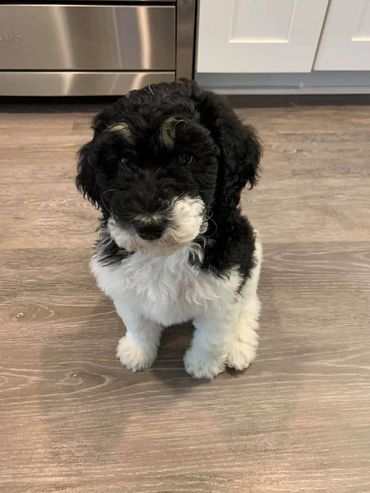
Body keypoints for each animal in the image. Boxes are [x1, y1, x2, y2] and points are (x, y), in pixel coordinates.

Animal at [76, 79, 264, 378]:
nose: (149, 225)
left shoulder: (224, 290)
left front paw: (202, 365)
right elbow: (138, 323)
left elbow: (212, 336)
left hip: (251, 256)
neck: (164, 254)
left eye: (187, 158)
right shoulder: (124, 288)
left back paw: (239, 345)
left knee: (250, 304)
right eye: (123, 163)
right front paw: (138, 352)